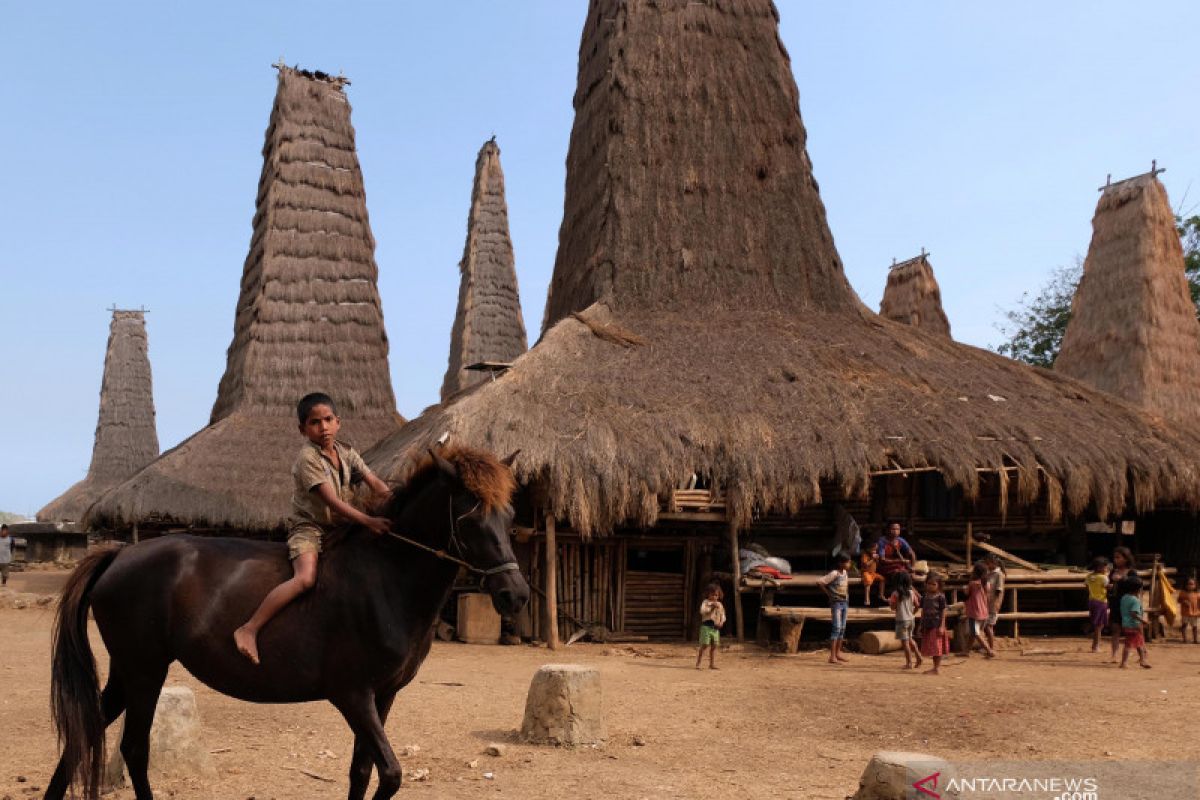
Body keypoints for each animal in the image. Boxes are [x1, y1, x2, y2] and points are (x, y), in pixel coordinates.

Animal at [48, 448, 525, 800]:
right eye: (470, 518)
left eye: (509, 516)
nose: (515, 595)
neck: (385, 576)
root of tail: (120, 554)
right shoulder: (353, 695)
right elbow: (390, 773)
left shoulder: (383, 696)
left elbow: (361, 771)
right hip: (146, 672)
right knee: (133, 748)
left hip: (128, 672)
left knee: (82, 736)